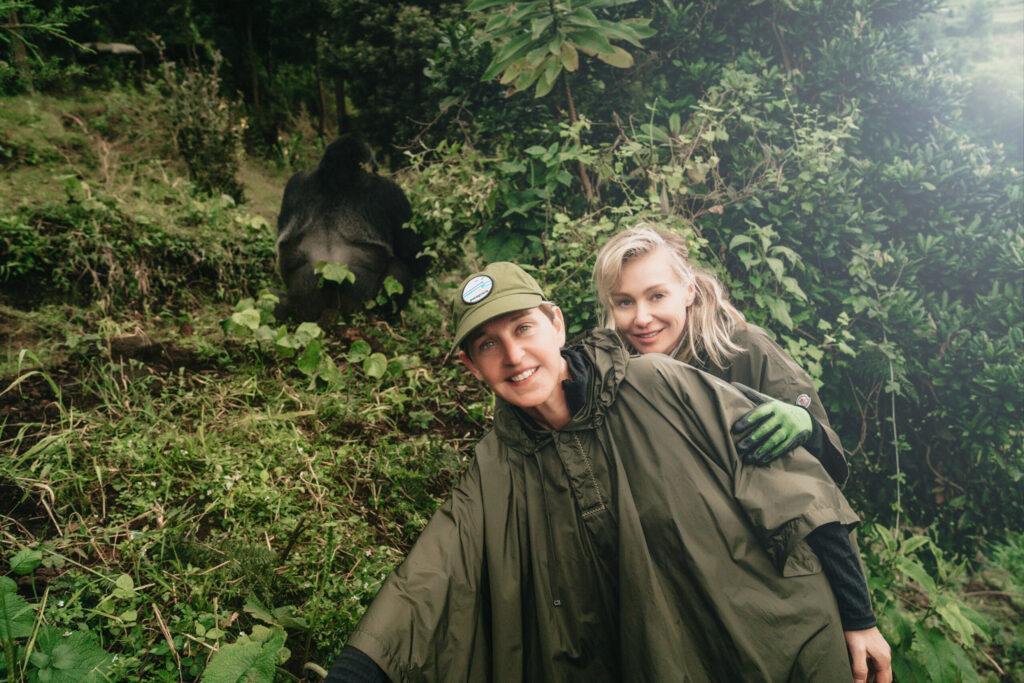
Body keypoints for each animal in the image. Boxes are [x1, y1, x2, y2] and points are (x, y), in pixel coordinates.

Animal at [272, 136, 423, 325]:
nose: (377, 169)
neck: (335, 175)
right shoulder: (389, 191)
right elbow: (414, 256)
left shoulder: (296, 180)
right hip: (362, 312)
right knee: (399, 270)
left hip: (301, 314)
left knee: (271, 298)